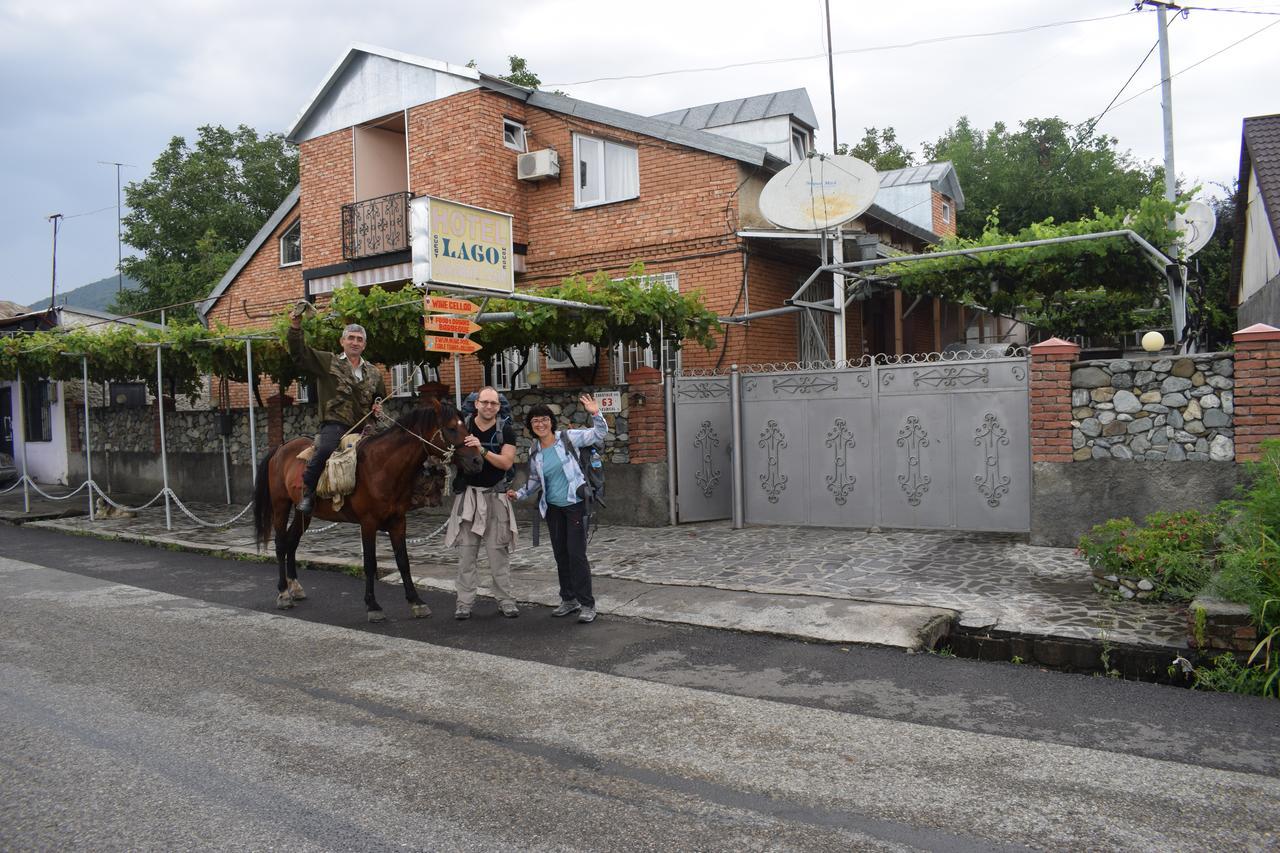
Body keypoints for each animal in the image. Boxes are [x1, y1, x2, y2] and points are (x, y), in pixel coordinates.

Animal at [252, 394, 481, 622]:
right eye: (451, 428)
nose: (477, 460)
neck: (382, 466)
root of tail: (281, 448)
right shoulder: (368, 523)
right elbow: (370, 563)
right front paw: (373, 605)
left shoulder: (398, 521)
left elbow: (403, 561)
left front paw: (416, 601)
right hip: (281, 506)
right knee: (281, 544)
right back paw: (283, 593)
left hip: (303, 513)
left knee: (292, 542)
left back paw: (296, 587)